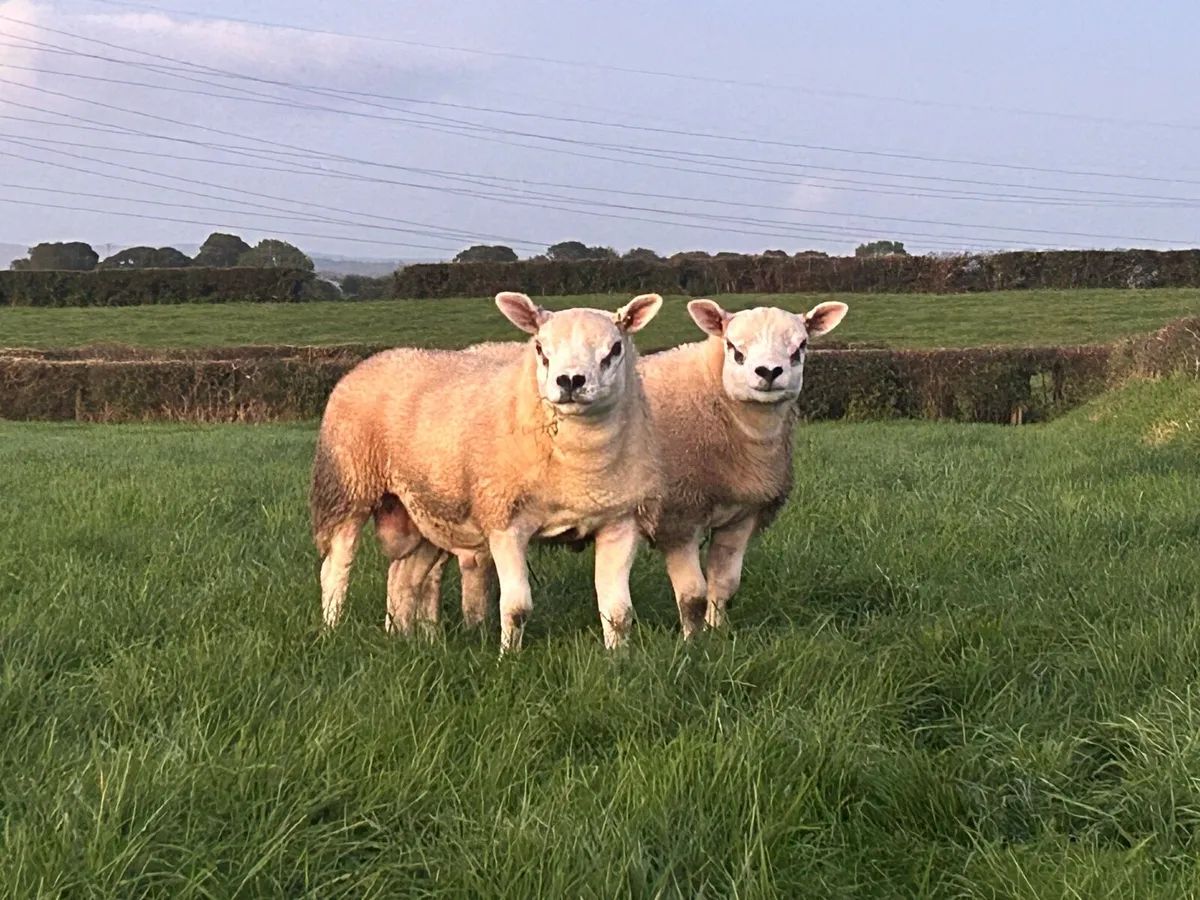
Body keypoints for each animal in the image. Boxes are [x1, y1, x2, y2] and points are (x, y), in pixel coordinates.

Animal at [309, 291, 665, 652]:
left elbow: (618, 611)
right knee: (336, 566)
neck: (580, 467)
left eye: (615, 348)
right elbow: (517, 607)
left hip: (424, 508)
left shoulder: (621, 521)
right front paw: (508, 656)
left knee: (405, 576)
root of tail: (379, 357)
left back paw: (400, 637)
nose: (570, 381)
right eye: (540, 348)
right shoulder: (504, 520)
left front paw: (618, 657)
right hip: (348, 486)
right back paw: (332, 629)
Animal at [635, 297, 848, 638]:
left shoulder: (742, 514)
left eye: (800, 347)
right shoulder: (678, 515)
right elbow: (692, 594)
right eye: (733, 348)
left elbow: (724, 584)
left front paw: (719, 634)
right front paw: (691, 642)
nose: (769, 371)